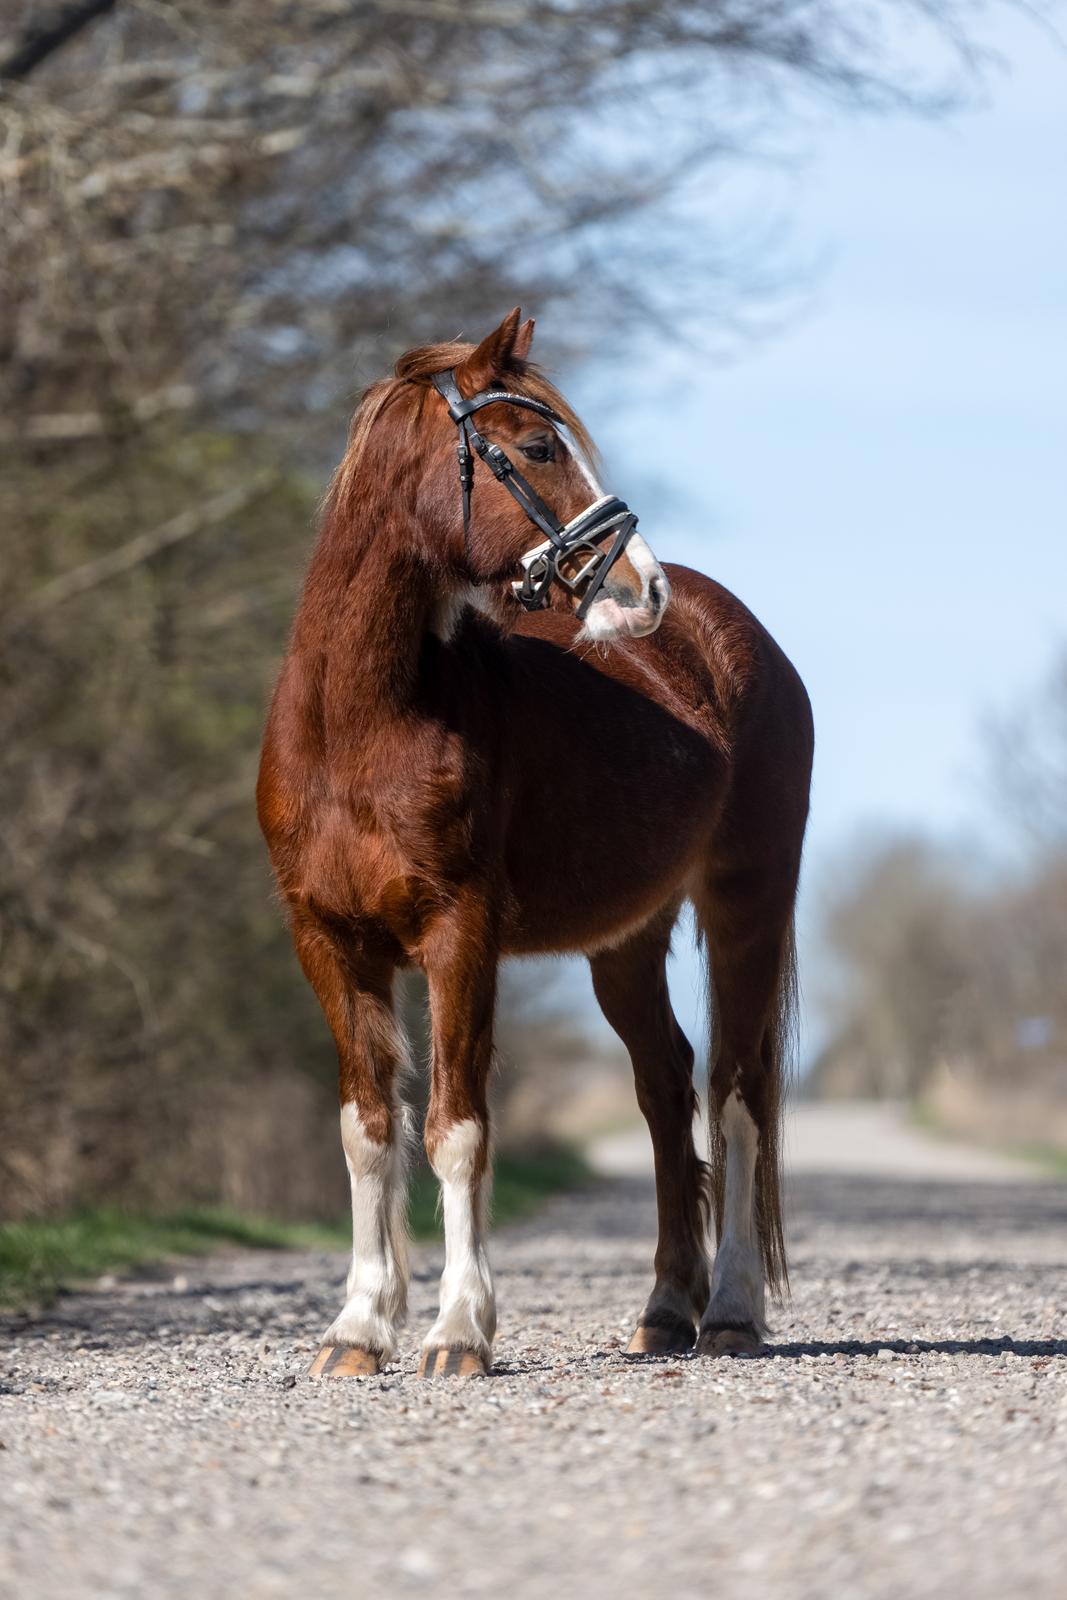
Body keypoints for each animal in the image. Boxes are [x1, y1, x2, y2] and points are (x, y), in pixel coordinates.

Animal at [257, 308, 813, 1378]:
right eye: (535, 448)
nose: (640, 589)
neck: (357, 727)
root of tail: (737, 638)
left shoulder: (459, 935)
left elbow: (457, 1127)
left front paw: (457, 1333)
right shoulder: (329, 944)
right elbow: (367, 1129)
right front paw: (358, 1329)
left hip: (747, 906)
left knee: (734, 1090)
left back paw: (728, 1312)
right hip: (625, 943)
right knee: (663, 1088)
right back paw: (663, 1311)